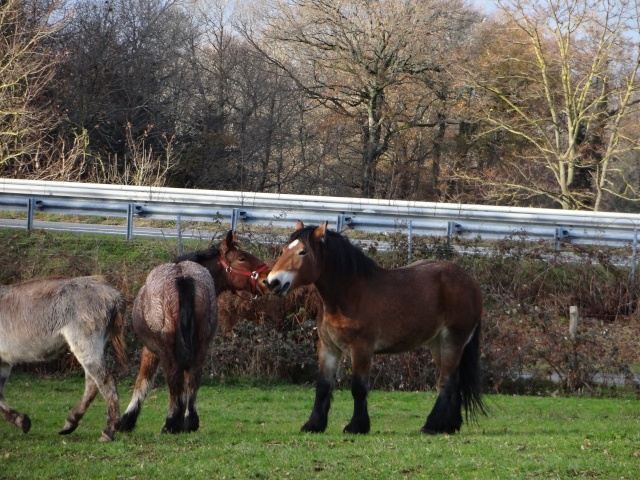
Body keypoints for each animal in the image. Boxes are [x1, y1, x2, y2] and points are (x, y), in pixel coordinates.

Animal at [0, 276, 127, 440]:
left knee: (105, 380)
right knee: (93, 381)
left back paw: (108, 431)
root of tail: (112, 293)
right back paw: (71, 422)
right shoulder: (3, 362)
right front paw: (20, 421)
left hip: (85, 342)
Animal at [119, 231, 268, 434]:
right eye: (242, 258)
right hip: (200, 344)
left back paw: (171, 422)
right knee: (193, 377)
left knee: (175, 377)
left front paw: (126, 419)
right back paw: (190, 421)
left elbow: (143, 381)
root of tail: (183, 278)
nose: (267, 279)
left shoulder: (150, 349)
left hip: (168, 348)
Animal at [264, 221, 484, 436]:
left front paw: (356, 426)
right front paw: (313, 425)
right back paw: (449, 425)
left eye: (303, 252)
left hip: (452, 340)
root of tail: (470, 280)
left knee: (446, 382)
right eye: (284, 249)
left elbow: (359, 388)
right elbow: (323, 386)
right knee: (454, 380)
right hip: (437, 343)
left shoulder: (361, 349)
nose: (272, 282)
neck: (349, 295)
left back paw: (431, 425)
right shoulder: (328, 348)